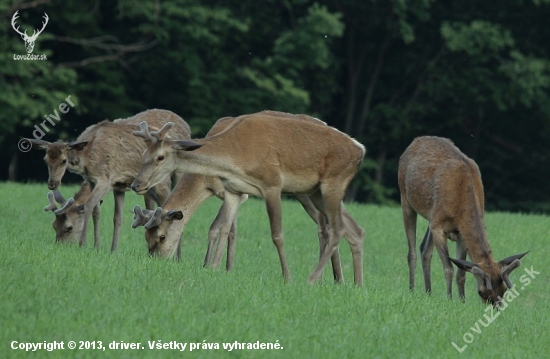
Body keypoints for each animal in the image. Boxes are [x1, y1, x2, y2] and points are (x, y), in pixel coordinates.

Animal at [27, 109, 191, 253]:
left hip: (168, 180)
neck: (88, 157)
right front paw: (105, 248)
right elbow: (110, 216)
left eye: (64, 160)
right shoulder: (110, 183)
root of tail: (185, 125)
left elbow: (88, 205)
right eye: (45, 160)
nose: (52, 184)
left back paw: (177, 257)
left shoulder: (105, 179)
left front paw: (83, 244)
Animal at [132, 111, 368, 286]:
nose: (136, 184)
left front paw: (287, 278)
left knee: (329, 226)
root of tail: (360, 148)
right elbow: (226, 229)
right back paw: (350, 282)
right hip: (312, 191)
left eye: (162, 237)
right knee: (348, 228)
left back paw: (325, 279)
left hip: (320, 188)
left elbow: (269, 234)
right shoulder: (233, 190)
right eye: (143, 155)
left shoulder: (267, 186)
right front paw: (218, 268)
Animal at [402, 136, 532, 306]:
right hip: (406, 199)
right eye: (482, 292)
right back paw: (411, 290)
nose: (495, 308)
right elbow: (449, 268)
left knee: (424, 249)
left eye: (504, 290)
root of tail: (415, 141)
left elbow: (461, 273)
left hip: (431, 216)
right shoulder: (439, 226)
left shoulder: (459, 232)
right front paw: (449, 299)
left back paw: (428, 293)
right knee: (412, 252)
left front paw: (462, 301)